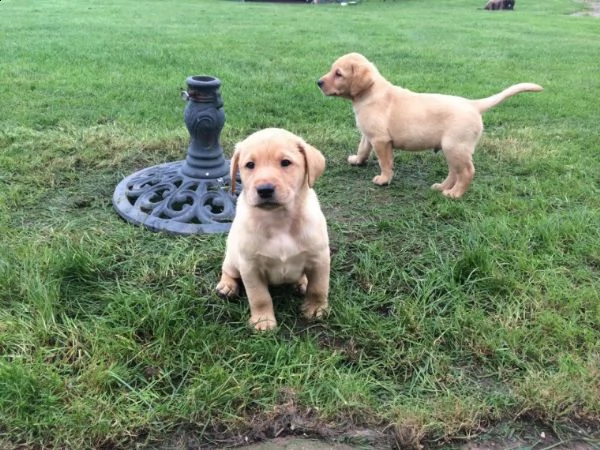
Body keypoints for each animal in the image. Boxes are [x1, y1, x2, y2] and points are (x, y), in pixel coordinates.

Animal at [214, 126, 328, 330]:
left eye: (286, 163)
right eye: (250, 165)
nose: (265, 189)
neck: (278, 220)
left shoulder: (320, 258)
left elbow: (318, 288)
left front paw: (315, 309)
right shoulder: (250, 266)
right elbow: (259, 297)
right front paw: (263, 321)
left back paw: (302, 282)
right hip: (234, 259)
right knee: (227, 270)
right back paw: (227, 286)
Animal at [318, 52, 544, 199]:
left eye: (338, 73)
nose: (318, 82)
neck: (370, 92)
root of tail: (473, 104)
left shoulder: (381, 140)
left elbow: (385, 162)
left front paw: (384, 179)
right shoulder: (369, 134)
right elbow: (363, 148)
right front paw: (357, 160)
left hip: (456, 147)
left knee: (467, 172)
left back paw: (454, 194)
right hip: (451, 149)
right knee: (455, 171)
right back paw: (441, 187)